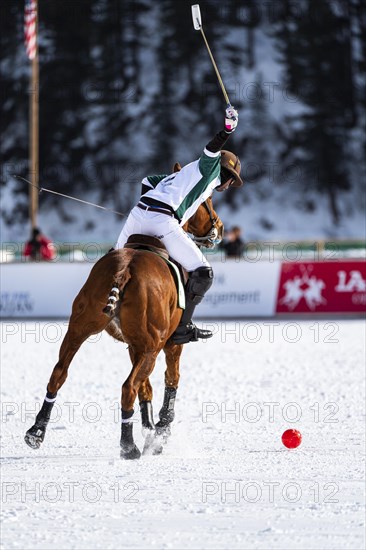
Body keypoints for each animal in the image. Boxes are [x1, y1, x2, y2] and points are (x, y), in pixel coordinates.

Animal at [24, 198, 223, 462]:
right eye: (207, 203)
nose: (219, 228)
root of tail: (124, 270)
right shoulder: (168, 344)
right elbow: (170, 379)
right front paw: (161, 431)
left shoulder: (134, 345)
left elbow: (146, 388)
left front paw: (151, 431)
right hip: (152, 345)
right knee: (128, 387)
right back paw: (129, 447)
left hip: (79, 329)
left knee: (59, 373)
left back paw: (36, 432)